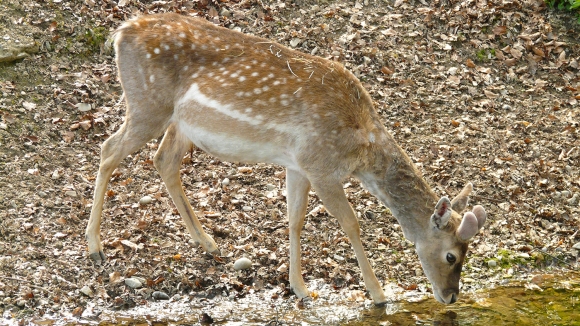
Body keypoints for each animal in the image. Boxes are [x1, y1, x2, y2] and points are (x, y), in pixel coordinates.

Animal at [85, 13, 484, 306]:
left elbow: (295, 220)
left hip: (178, 123)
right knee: (108, 149)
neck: (361, 143)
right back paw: (94, 247)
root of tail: (120, 32)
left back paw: (209, 244)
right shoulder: (320, 165)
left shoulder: (298, 164)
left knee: (163, 159)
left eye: (467, 253)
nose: (451, 297)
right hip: (147, 103)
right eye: (451, 256)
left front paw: (300, 287)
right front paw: (377, 294)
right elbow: (351, 224)